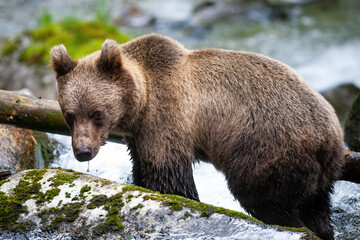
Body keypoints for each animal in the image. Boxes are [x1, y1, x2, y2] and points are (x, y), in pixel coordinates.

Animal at [50, 33, 344, 240]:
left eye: (97, 112)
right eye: (69, 114)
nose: (83, 151)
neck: (141, 101)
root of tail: (329, 135)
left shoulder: (166, 119)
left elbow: (170, 177)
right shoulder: (140, 135)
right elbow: (142, 167)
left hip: (267, 148)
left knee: (263, 198)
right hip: (321, 174)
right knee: (316, 206)